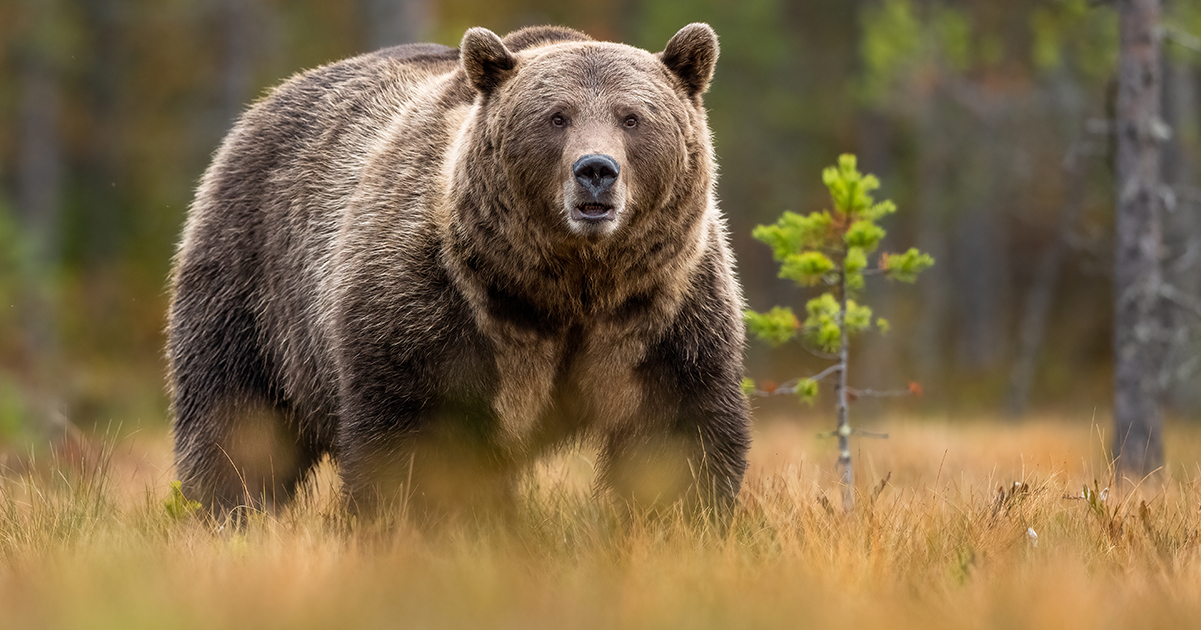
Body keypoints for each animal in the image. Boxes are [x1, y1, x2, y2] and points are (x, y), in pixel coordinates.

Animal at [167, 23, 750, 523]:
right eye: (556, 116)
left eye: (632, 117)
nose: (595, 171)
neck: (565, 286)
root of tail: (264, 104)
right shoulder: (437, 302)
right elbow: (418, 437)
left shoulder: (660, 311)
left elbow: (676, 432)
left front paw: (680, 518)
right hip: (253, 279)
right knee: (236, 418)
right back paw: (224, 510)